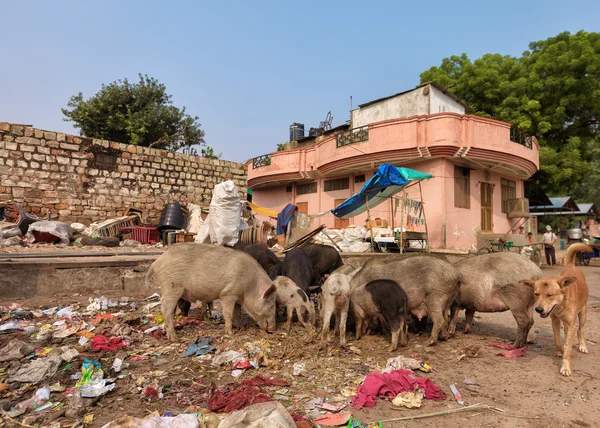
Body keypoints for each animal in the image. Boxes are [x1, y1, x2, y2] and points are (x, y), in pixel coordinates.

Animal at [146, 244, 278, 342]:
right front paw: (230, 333)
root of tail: (157, 261)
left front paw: (241, 327)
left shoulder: (237, 297)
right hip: (172, 287)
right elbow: (229, 314)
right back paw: (175, 339)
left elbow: (237, 313)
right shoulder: (228, 294)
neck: (251, 285)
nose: (273, 329)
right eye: (271, 305)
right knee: (165, 310)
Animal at [516, 242, 592, 376]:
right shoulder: (555, 321)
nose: (538, 309)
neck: (561, 304)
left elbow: (569, 346)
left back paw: (582, 346)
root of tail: (572, 268)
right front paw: (562, 350)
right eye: (536, 294)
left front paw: (565, 366)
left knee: (580, 330)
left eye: (550, 295)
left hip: (583, 314)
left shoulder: (571, 323)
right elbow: (558, 342)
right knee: (567, 333)